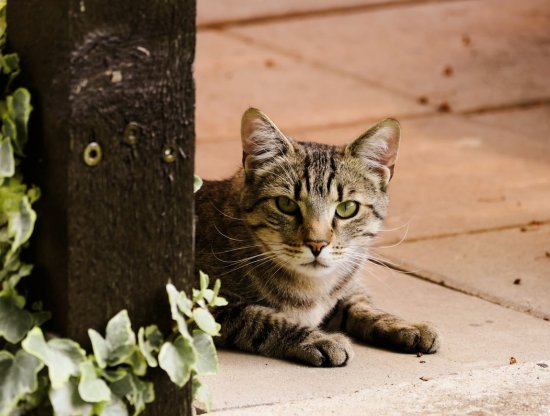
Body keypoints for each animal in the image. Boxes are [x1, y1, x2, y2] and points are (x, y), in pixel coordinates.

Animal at [196, 108, 442, 368]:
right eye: (285, 204)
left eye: (347, 208)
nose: (317, 243)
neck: (312, 289)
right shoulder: (202, 305)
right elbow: (259, 317)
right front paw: (319, 338)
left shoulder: (346, 289)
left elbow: (361, 306)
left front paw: (403, 324)